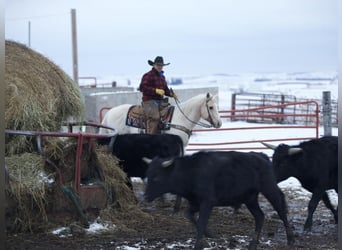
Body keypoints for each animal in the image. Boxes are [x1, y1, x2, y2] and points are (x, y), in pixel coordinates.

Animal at [143, 150, 296, 250]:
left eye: (156, 177)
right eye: (148, 174)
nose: (145, 197)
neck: (191, 172)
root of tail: (261, 156)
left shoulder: (207, 202)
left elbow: (201, 222)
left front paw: (198, 245)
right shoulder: (195, 202)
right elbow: (190, 215)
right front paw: (210, 234)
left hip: (269, 189)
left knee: (281, 211)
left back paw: (291, 239)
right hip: (250, 198)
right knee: (260, 216)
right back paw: (253, 244)